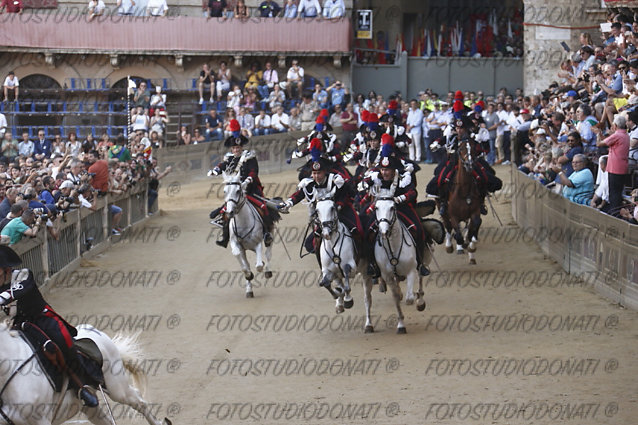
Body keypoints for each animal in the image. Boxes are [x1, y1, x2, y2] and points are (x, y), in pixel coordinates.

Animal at [370, 184, 430, 332]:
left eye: (392, 207)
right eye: (376, 207)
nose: (384, 231)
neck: (393, 246)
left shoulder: (411, 271)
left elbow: (409, 298)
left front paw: (415, 299)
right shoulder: (388, 276)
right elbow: (396, 297)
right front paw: (401, 325)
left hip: (419, 263)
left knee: (421, 278)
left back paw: (420, 300)